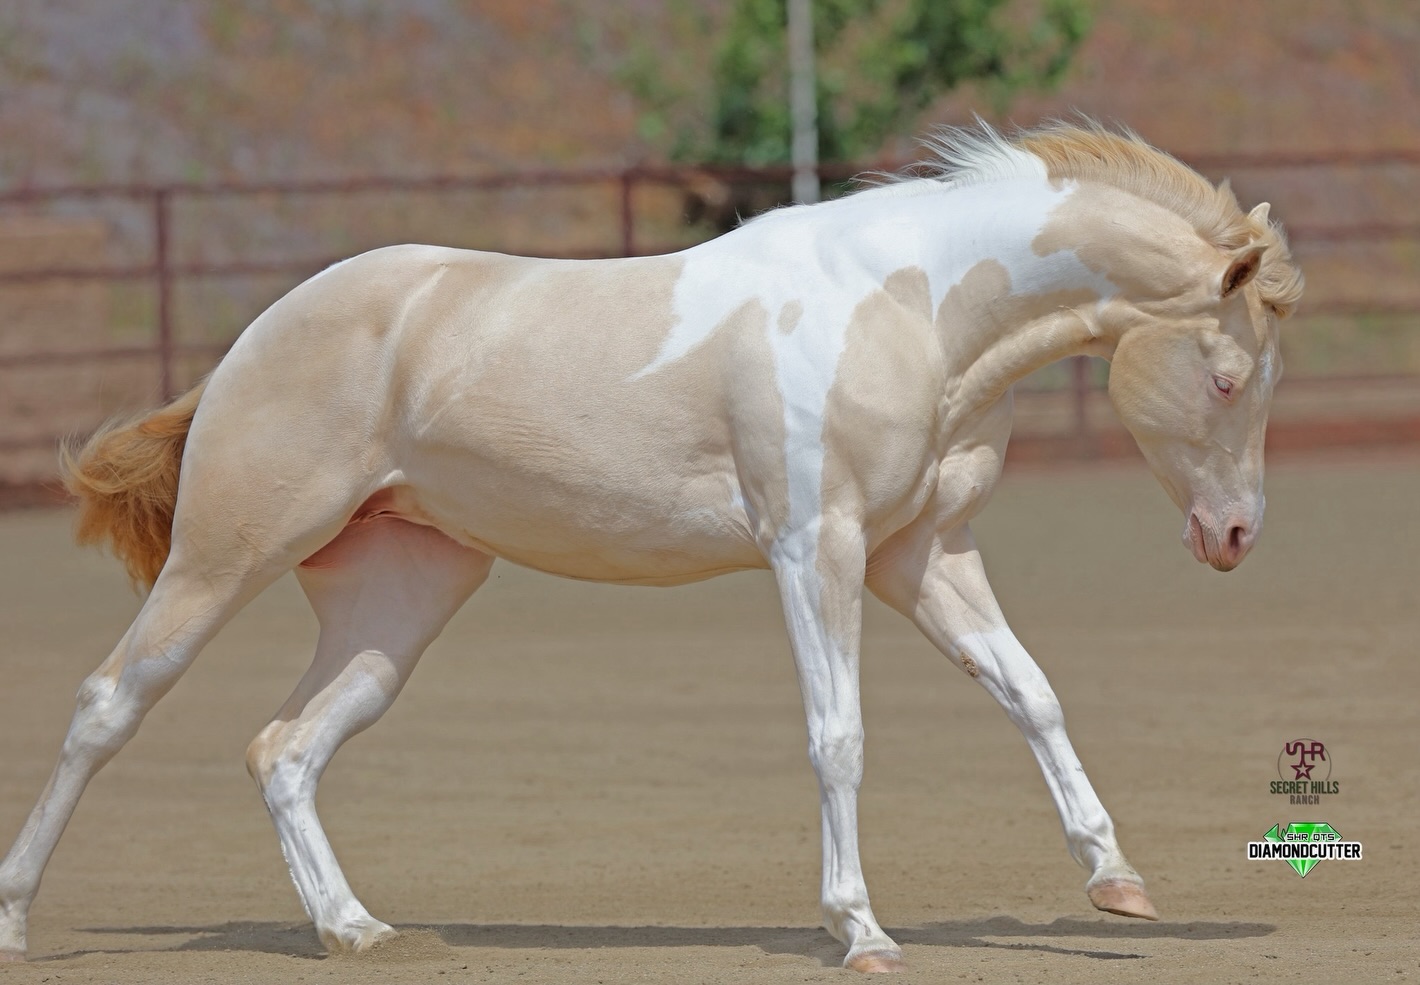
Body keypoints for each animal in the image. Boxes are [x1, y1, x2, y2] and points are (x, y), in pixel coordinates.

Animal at [0, 121, 1303, 972]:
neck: (908, 307)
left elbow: (1030, 693)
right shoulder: (814, 550)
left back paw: (352, 928)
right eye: (1226, 375)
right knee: (109, 703)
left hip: (398, 601)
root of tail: (247, 346)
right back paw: (17, 917)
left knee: (286, 747)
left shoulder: (922, 557)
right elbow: (839, 738)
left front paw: (1116, 882)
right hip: (226, 555)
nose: (1234, 534)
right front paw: (862, 932)